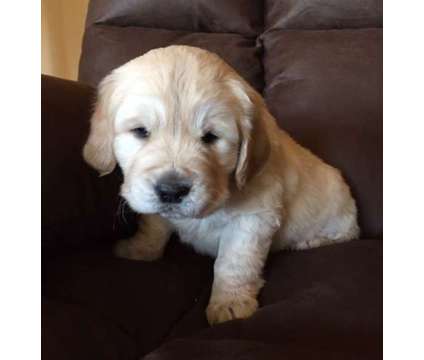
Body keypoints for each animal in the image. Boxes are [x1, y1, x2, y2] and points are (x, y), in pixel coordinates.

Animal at [82, 44, 358, 324]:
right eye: (140, 131)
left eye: (210, 137)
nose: (171, 191)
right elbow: (154, 226)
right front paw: (139, 250)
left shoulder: (255, 217)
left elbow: (235, 261)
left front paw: (230, 303)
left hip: (340, 214)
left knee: (346, 234)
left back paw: (311, 242)